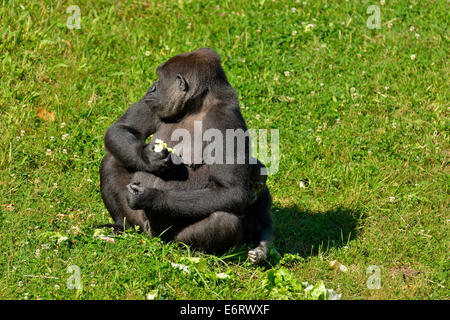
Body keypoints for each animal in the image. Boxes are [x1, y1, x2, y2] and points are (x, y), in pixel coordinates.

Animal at [100, 47, 272, 262]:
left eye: (159, 79)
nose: (152, 88)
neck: (197, 106)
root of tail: (149, 234)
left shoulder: (225, 118)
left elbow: (230, 191)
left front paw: (151, 197)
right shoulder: (156, 104)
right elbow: (122, 129)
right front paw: (149, 159)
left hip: (169, 237)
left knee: (223, 221)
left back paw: (195, 252)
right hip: (139, 223)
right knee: (111, 161)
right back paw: (122, 225)